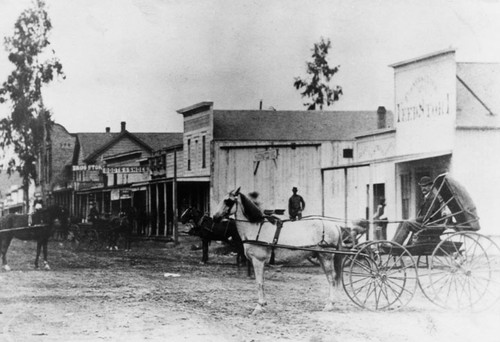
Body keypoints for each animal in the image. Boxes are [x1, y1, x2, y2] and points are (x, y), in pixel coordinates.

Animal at [213, 187, 346, 316]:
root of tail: (334, 225)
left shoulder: (258, 261)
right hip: (321, 257)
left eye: (228, 201)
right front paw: (263, 304)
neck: (256, 228)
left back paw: (330, 305)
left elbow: (259, 283)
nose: (215, 217)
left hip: (326, 256)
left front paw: (259, 307)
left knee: (332, 278)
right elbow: (262, 282)